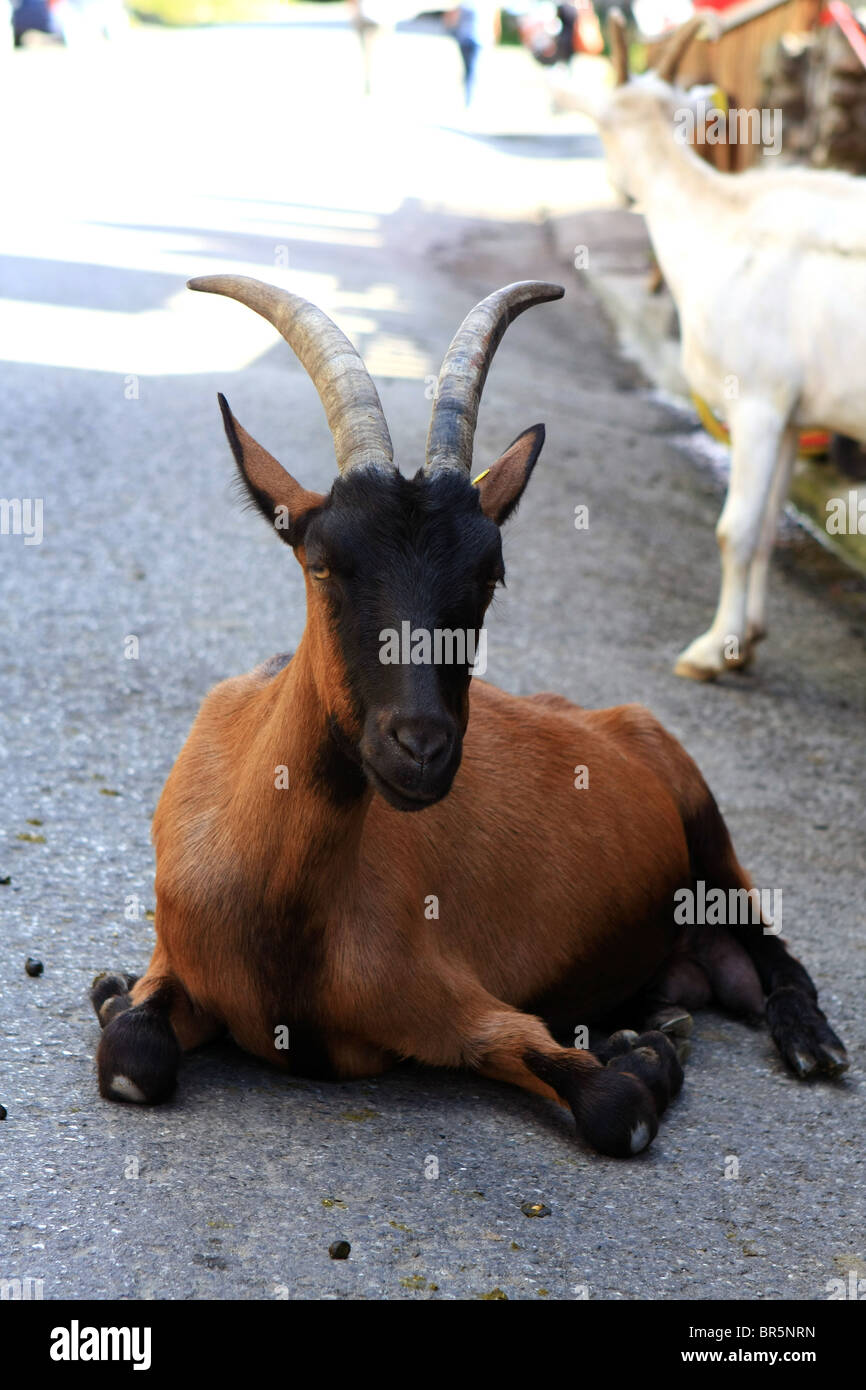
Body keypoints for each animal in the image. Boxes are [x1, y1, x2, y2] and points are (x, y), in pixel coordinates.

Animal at [91, 276, 850, 1156]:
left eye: (491, 576)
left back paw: (803, 1040)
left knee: (772, 945)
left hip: (705, 823)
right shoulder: (178, 960)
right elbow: (131, 1055)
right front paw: (115, 992)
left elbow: (613, 1105)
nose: (420, 748)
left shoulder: (460, 1002)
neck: (281, 920)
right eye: (323, 564)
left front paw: (644, 1059)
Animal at [561, 14, 866, 678]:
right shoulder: (788, 414)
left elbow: (736, 531)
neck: (720, 221)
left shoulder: (755, 401)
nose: (619, 191)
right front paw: (747, 639)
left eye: (600, 127)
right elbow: (769, 529)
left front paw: (712, 650)